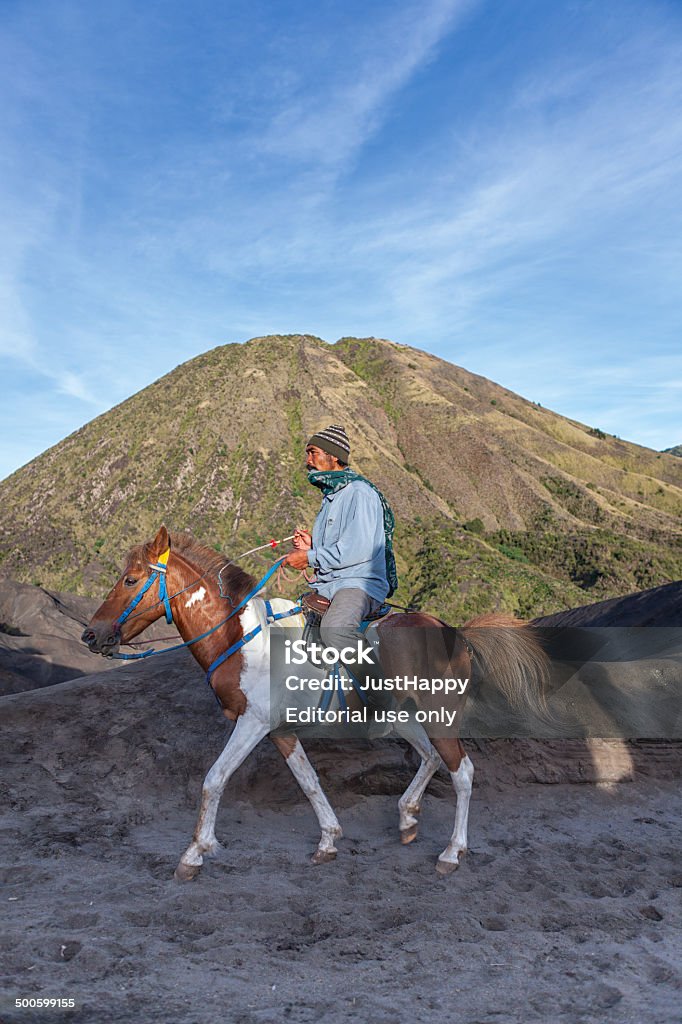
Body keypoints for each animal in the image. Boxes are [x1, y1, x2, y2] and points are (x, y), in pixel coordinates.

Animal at [80, 528, 548, 880]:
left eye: (130, 580)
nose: (91, 634)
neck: (239, 636)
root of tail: (453, 631)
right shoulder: (280, 731)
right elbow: (308, 782)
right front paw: (328, 839)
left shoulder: (252, 723)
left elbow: (214, 779)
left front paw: (195, 853)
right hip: (404, 716)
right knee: (432, 758)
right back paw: (407, 817)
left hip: (439, 718)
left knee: (462, 772)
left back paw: (452, 852)